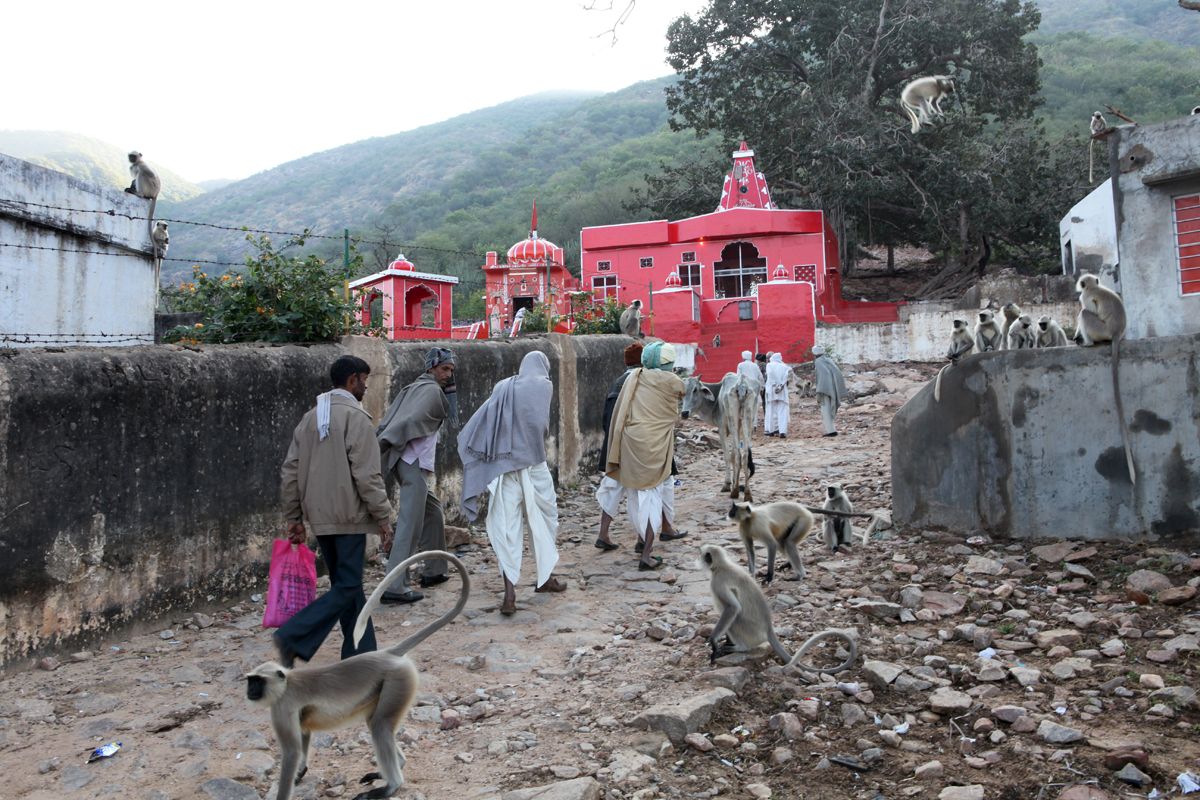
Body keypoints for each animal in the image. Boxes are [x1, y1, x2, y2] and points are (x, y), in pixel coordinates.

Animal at [244, 551, 468, 800]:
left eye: (257, 682)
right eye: (250, 681)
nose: (250, 691)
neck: (286, 683)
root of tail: (387, 654)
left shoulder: (281, 708)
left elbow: (292, 752)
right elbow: (303, 737)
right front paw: (300, 773)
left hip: (399, 680)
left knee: (379, 725)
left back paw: (391, 786)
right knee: (377, 723)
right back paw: (390, 770)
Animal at [700, 544, 859, 676]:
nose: (698, 558)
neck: (721, 565)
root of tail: (768, 628)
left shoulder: (718, 580)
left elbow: (732, 608)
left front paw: (713, 642)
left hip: (750, 630)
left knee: (735, 618)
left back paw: (740, 647)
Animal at [724, 496, 878, 585]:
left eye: (734, 509)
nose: (729, 513)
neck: (749, 518)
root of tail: (802, 507)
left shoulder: (758, 523)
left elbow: (771, 544)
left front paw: (769, 576)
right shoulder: (743, 527)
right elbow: (750, 549)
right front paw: (750, 577)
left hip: (805, 520)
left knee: (787, 543)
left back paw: (799, 575)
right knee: (783, 542)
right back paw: (789, 564)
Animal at [1075, 275, 1137, 484]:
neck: (1095, 286)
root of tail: (1116, 333)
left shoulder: (1086, 296)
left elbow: (1089, 309)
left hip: (1101, 330)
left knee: (1085, 313)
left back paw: (1087, 343)